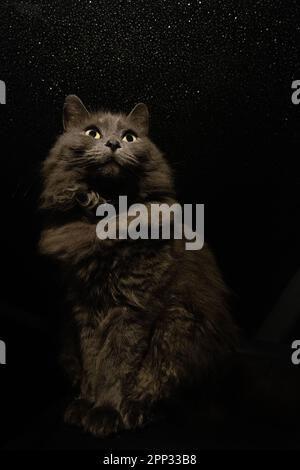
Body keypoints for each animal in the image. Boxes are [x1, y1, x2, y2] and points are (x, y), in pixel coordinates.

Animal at [38, 95, 238, 436]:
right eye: (92, 133)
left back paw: (135, 412)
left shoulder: (133, 307)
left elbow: (117, 364)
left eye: (130, 137)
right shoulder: (84, 307)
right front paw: (87, 404)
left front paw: (105, 411)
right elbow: (93, 361)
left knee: (161, 389)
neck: (108, 220)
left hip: (179, 326)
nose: (114, 143)